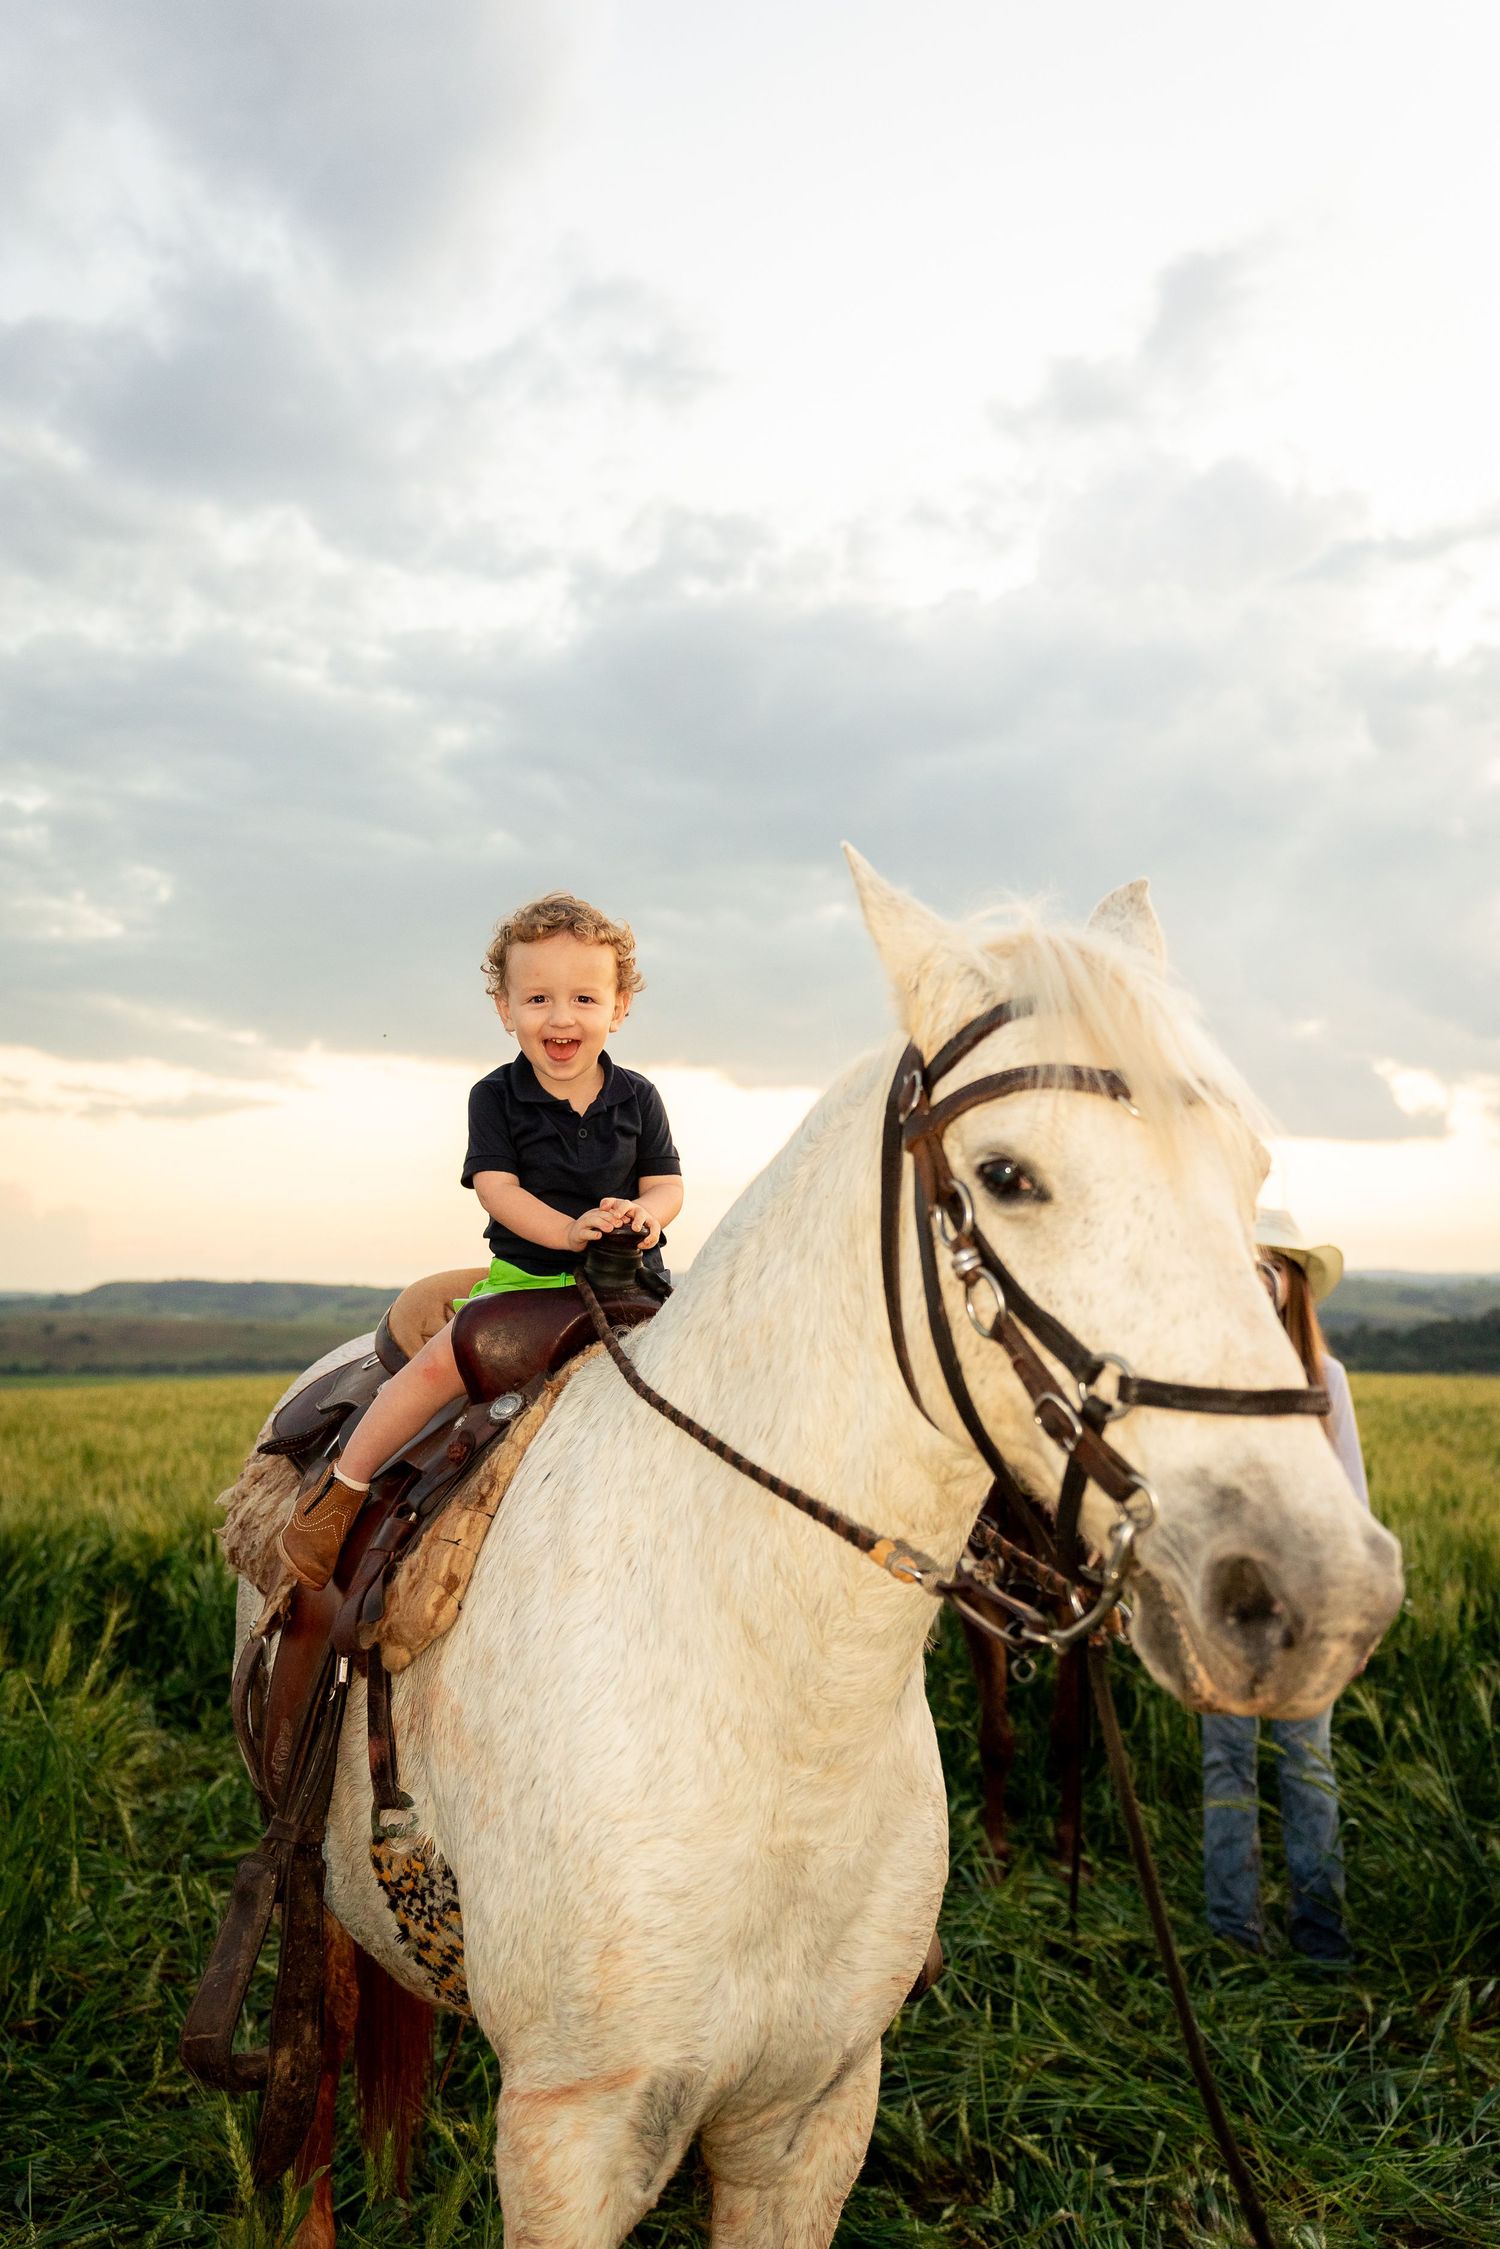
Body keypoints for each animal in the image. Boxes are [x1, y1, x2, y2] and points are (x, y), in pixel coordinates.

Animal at [228, 850, 1402, 2246]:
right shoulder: (570, 2133)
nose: (1313, 1595)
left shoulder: (814, 2113)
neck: (778, 1708)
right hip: (316, 1911)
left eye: (1249, 1164)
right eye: (1006, 1174)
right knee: (308, 2107)